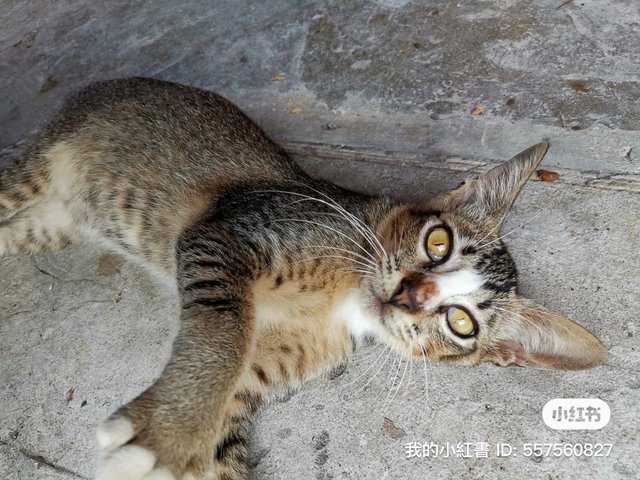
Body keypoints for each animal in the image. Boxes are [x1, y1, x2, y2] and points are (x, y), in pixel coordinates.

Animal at [0, 77, 608, 478]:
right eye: (438, 242)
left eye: (461, 323)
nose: (411, 295)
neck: (344, 300)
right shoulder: (223, 233)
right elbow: (222, 331)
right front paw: (166, 431)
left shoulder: (251, 379)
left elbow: (221, 449)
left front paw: (174, 442)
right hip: (33, 168)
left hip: (47, 226)